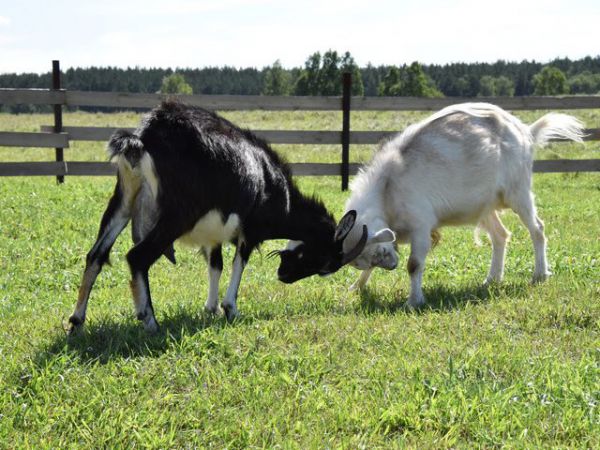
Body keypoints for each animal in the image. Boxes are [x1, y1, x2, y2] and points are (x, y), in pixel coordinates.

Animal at [72, 103, 368, 332]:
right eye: (326, 264)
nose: (284, 276)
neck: (272, 185)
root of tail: (144, 138)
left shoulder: (213, 235)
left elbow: (216, 265)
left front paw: (211, 307)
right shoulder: (250, 230)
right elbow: (239, 263)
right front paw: (230, 308)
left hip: (123, 199)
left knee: (96, 255)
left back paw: (77, 321)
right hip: (178, 214)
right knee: (137, 257)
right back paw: (150, 321)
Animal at [344, 102, 584, 308]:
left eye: (379, 253)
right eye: (367, 260)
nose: (392, 266)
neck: (387, 188)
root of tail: (526, 132)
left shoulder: (420, 223)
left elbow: (414, 264)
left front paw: (413, 302)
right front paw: (357, 286)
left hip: (518, 191)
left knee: (537, 229)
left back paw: (539, 275)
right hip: (485, 205)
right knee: (500, 235)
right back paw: (492, 279)